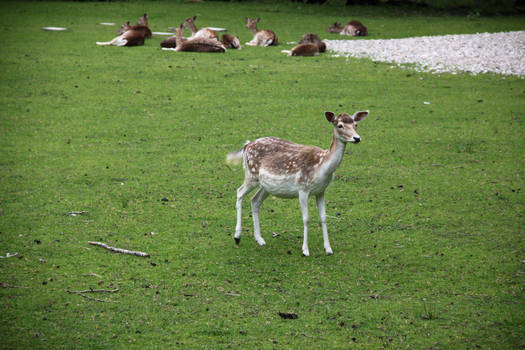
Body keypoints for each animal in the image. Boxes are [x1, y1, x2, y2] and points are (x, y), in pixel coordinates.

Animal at [226, 110, 368, 256]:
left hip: (266, 186)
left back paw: (259, 239)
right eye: (340, 125)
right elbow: (306, 218)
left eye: (355, 124)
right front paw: (305, 250)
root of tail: (247, 145)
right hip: (251, 174)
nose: (357, 138)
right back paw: (237, 237)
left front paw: (328, 249)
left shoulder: (321, 191)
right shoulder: (303, 188)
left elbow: (323, 217)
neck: (322, 167)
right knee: (239, 192)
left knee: (254, 200)